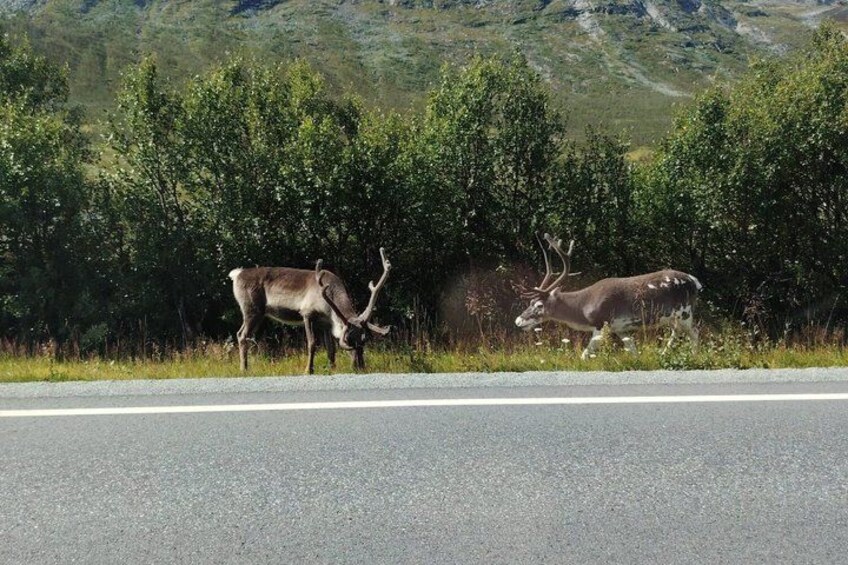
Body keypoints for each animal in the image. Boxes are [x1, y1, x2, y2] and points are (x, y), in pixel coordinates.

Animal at [228, 248, 391, 374]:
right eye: (348, 341)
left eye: (363, 341)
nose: (360, 367)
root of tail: (236, 274)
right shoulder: (307, 314)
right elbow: (312, 343)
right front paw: (309, 370)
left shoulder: (326, 323)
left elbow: (331, 348)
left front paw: (332, 368)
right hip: (251, 309)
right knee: (243, 335)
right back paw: (244, 369)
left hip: (257, 313)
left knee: (240, 333)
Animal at [515, 234, 701, 359]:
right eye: (530, 302)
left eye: (539, 305)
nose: (518, 320)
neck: (582, 309)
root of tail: (695, 281)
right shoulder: (620, 328)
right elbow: (632, 349)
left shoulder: (601, 323)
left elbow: (585, 354)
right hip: (673, 317)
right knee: (678, 332)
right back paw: (666, 354)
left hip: (684, 312)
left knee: (694, 332)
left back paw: (691, 356)